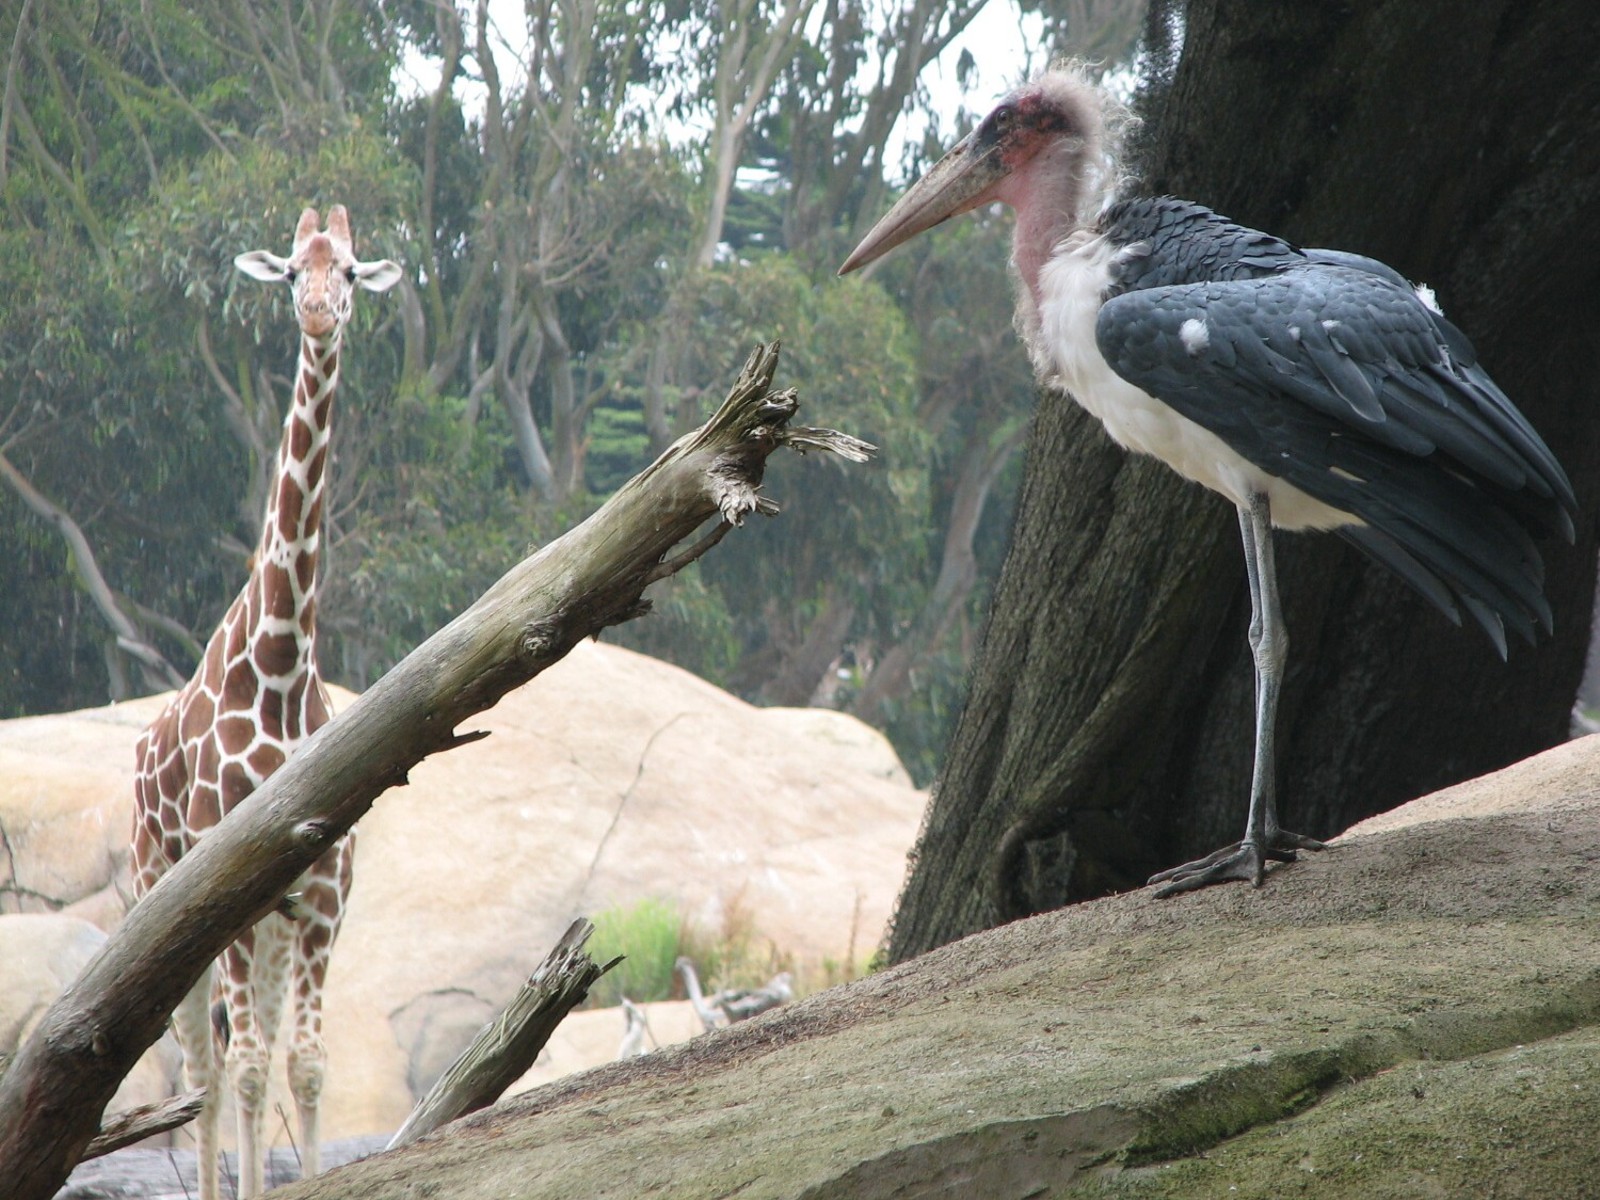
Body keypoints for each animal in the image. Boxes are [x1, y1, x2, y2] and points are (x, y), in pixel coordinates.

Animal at [131, 205, 399, 1200]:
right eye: (290, 271)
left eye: (351, 271)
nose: (319, 314)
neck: (281, 670)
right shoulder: (235, 905)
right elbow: (244, 1069)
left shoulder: (320, 902)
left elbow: (308, 1064)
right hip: (163, 909)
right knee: (205, 1069)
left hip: (272, 936)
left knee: (248, 1052)